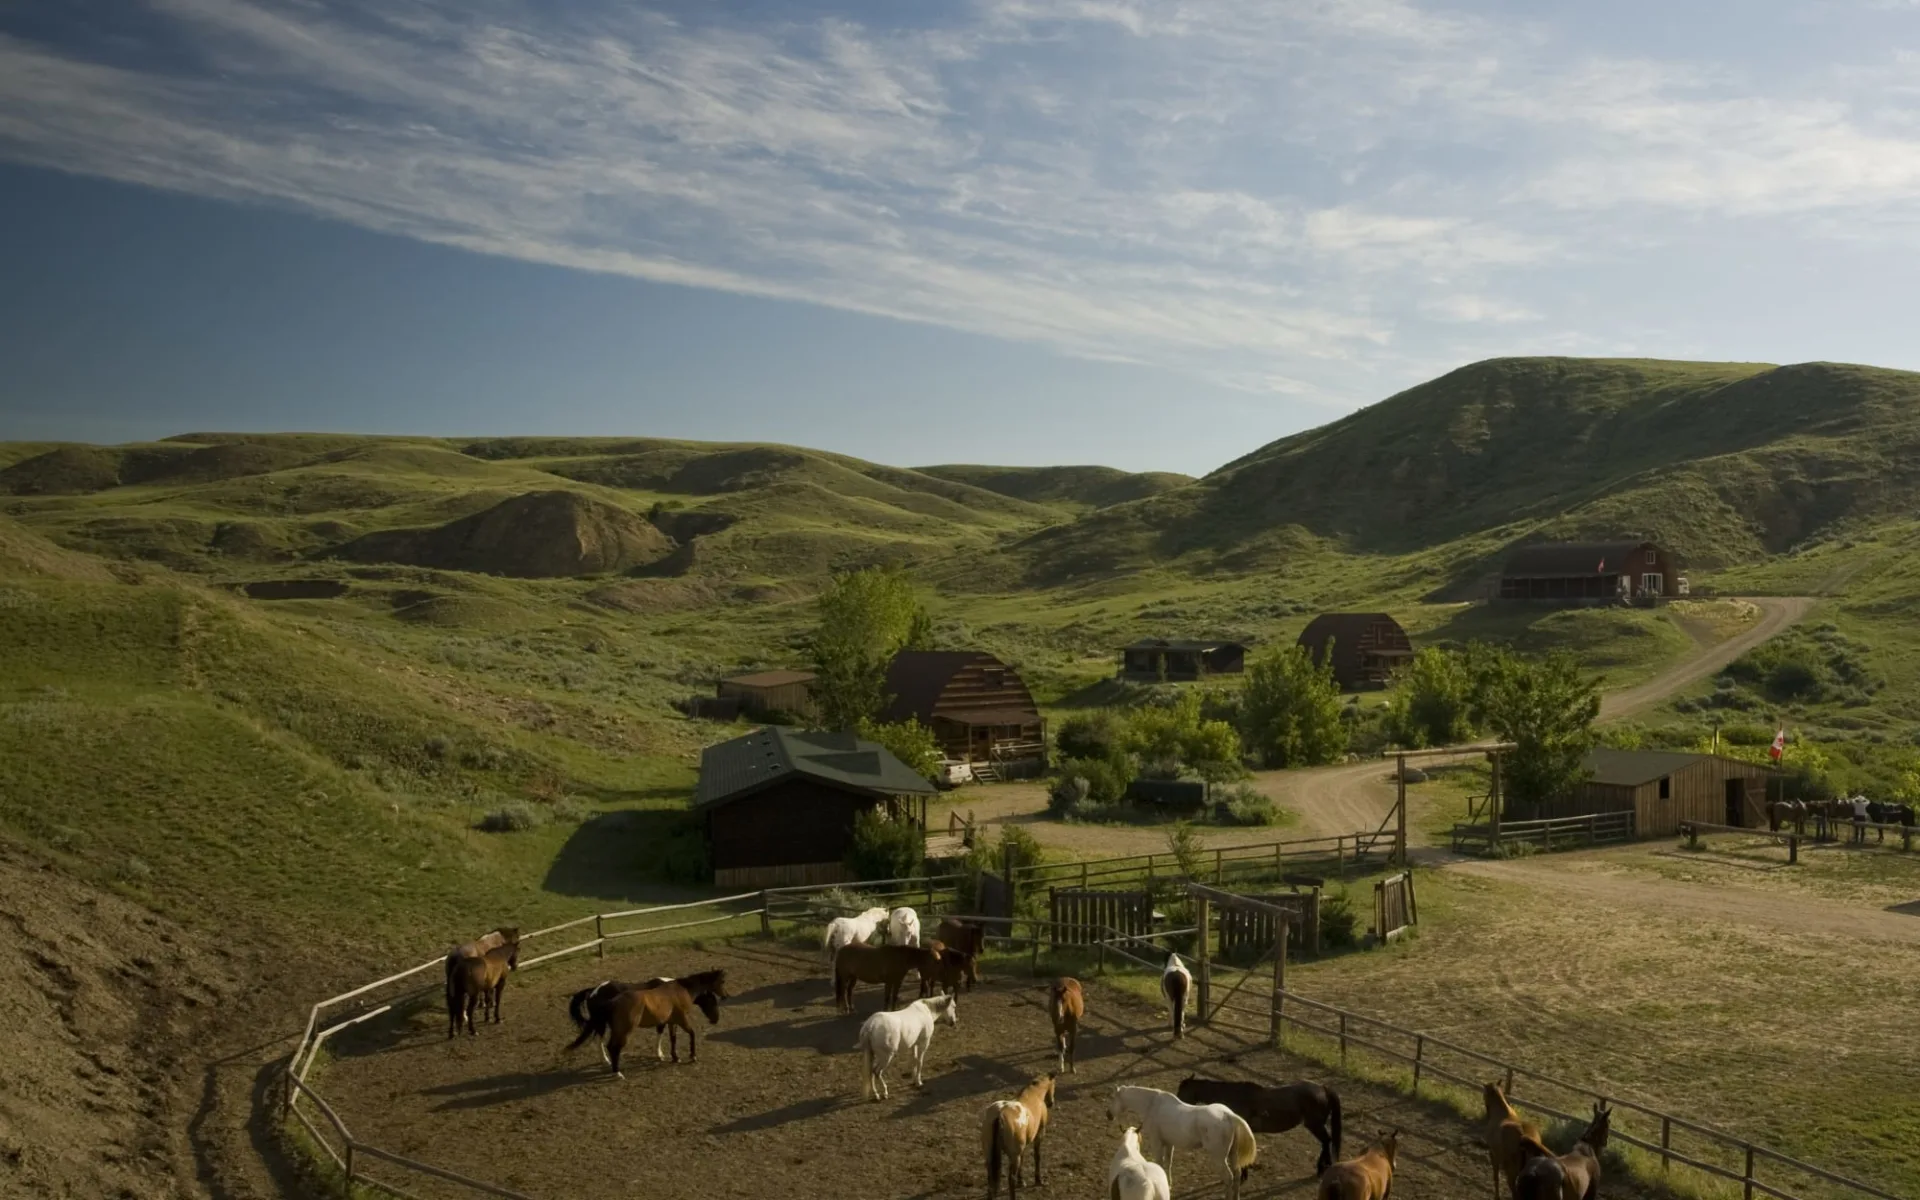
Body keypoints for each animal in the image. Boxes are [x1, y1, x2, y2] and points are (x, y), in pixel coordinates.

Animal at [568, 967, 725, 1075]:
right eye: (712, 1001)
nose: (716, 1019)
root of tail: (593, 991)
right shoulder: (666, 1019)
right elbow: (663, 1034)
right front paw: (662, 1055)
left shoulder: (668, 1020)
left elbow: (669, 1037)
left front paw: (669, 1056)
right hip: (604, 1023)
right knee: (601, 1040)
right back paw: (608, 1061)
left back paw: (607, 1061)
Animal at [1113, 1082, 1259, 1198]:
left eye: (1113, 1098)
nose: (1109, 1115)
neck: (1153, 1105)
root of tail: (1228, 1115)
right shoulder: (1169, 1144)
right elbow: (1168, 1163)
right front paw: (1169, 1184)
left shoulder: (1157, 1143)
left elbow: (1160, 1163)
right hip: (1233, 1154)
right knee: (1237, 1175)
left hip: (1219, 1158)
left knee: (1229, 1178)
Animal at [1175, 1075, 1344, 1167]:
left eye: (1182, 1091)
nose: (1177, 1105)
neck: (1234, 1097)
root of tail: (1323, 1088)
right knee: (1326, 1141)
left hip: (1314, 1125)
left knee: (1326, 1141)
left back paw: (1322, 1167)